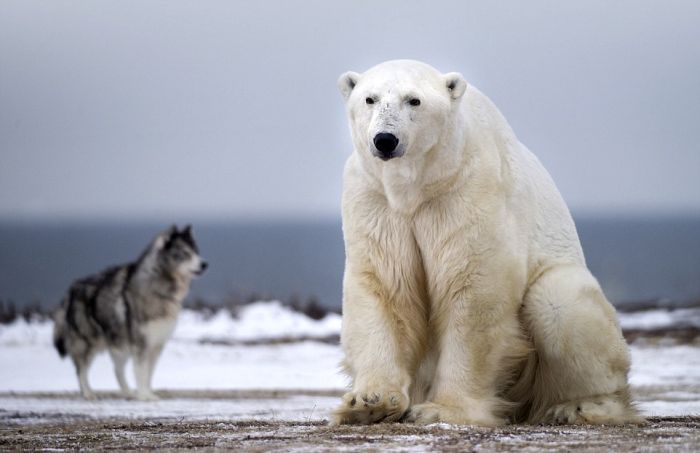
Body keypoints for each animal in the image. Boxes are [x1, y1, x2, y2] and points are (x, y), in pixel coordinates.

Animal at [53, 224, 206, 398]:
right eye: (185, 253)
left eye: (196, 252)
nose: (204, 264)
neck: (158, 287)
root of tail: (71, 291)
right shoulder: (141, 343)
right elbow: (141, 372)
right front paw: (144, 396)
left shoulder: (156, 344)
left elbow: (149, 373)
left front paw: (148, 393)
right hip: (87, 343)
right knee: (81, 370)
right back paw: (88, 393)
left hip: (119, 345)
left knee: (117, 370)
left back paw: (127, 392)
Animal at [330, 59, 644, 424]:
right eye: (370, 98)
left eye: (414, 100)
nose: (385, 140)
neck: (419, 186)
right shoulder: (375, 200)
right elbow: (385, 287)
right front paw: (368, 403)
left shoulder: (468, 190)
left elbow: (472, 291)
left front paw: (442, 409)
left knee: (559, 302)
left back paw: (580, 406)